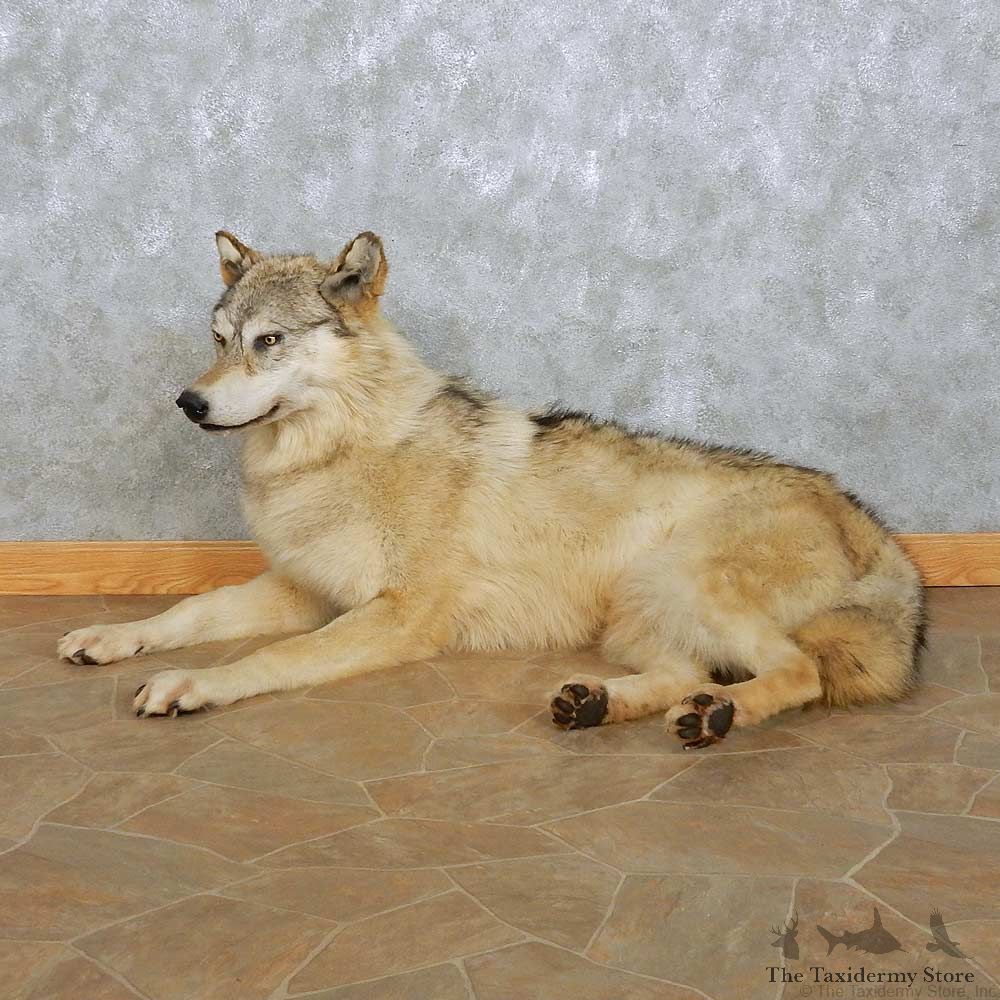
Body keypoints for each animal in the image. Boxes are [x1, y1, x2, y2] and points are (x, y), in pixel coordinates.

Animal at [58, 230, 924, 747]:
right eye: (217, 341)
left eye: (267, 342)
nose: (189, 402)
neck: (344, 448)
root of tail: (869, 521)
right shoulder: (304, 589)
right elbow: (189, 610)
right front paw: (111, 637)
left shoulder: (392, 616)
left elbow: (269, 657)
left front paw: (194, 684)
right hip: (638, 611)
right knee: (685, 674)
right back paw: (598, 705)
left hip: (683, 582)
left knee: (795, 672)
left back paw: (720, 716)